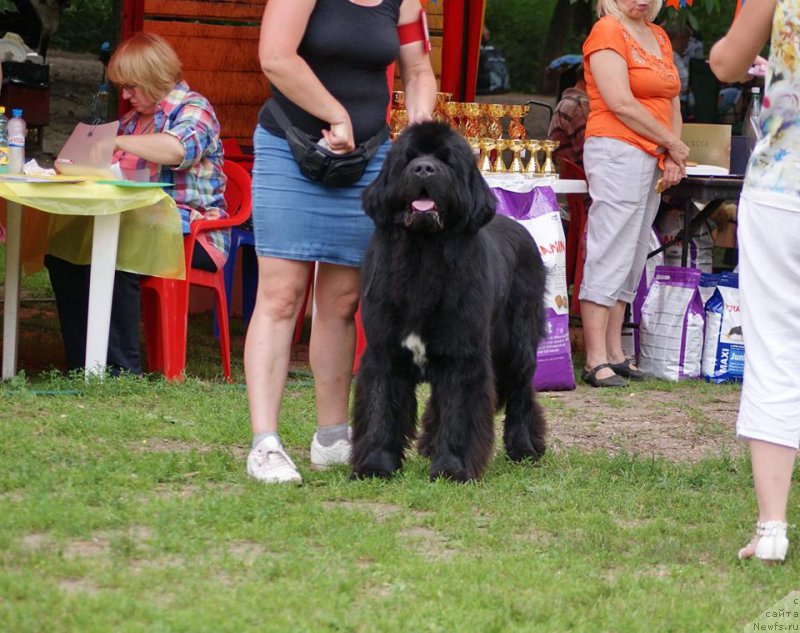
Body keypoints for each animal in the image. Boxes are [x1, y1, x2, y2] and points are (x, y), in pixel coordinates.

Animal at [354, 121, 548, 482]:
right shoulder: (384, 350)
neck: (423, 255)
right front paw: (375, 465)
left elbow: (459, 411)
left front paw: (452, 468)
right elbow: (380, 408)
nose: (424, 169)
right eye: (409, 158)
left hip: (518, 342)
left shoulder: (462, 353)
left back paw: (525, 447)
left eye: (446, 161)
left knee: (520, 393)